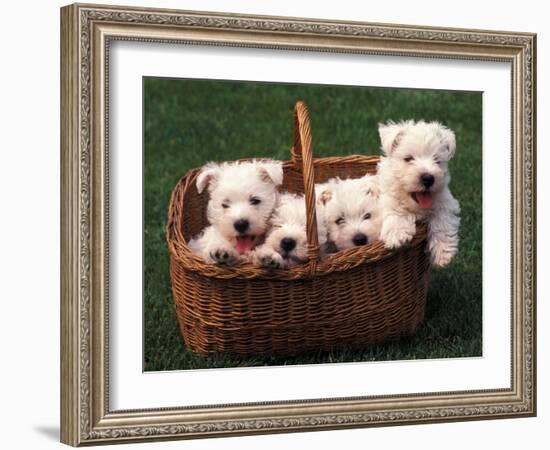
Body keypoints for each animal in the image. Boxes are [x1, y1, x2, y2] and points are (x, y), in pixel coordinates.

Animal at [380, 119, 462, 268]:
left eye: (437, 160)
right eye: (408, 158)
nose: (428, 178)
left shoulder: (445, 201)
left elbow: (442, 221)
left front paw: (443, 253)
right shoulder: (388, 196)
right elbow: (395, 210)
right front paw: (397, 235)